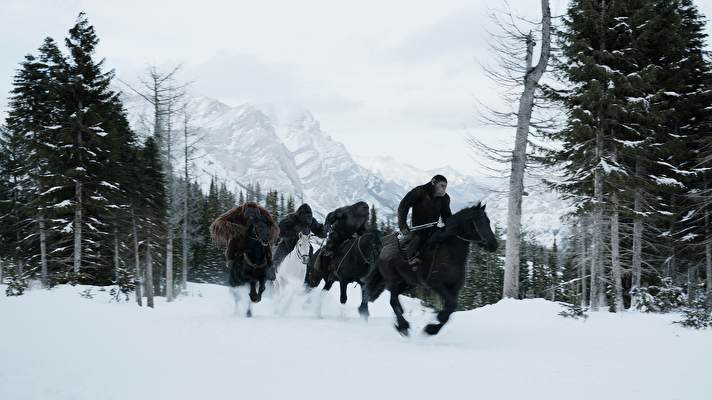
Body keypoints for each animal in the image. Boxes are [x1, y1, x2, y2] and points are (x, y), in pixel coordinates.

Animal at [376, 203, 498, 334]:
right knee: (393, 301)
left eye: (488, 221)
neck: (450, 254)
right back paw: (403, 325)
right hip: (393, 280)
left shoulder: (454, 288)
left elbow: (451, 308)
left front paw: (433, 327)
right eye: (479, 222)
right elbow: (451, 305)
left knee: (395, 300)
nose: (494, 245)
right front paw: (433, 325)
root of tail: (382, 250)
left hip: (407, 283)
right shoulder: (436, 284)